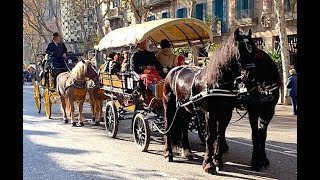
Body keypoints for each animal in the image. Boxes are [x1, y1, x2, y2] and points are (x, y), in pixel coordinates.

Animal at [164, 28, 256, 174]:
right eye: (240, 50)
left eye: (253, 50)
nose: (251, 76)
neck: (218, 82)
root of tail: (173, 70)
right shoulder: (209, 114)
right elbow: (210, 137)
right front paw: (208, 164)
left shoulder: (226, 114)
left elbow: (219, 136)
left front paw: (218, 161)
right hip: (169, 106)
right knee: (168, 126)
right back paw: (168, 153)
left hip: (186, 109)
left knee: (184, 127)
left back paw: (187, 151)